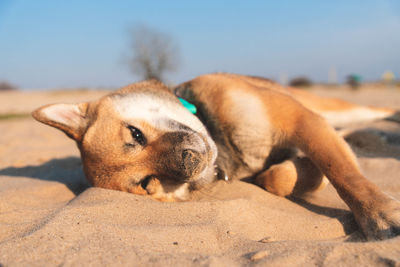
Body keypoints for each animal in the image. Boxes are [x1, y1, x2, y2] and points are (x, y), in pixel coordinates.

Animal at [32, 73, 400, 241]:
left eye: (135, 134)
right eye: (149, 182)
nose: (189, 162)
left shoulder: (300, 120)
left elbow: (344, 173)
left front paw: (380, 214)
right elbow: (278, 178)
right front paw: (305, 172)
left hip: (335, 106)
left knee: (379, 112)